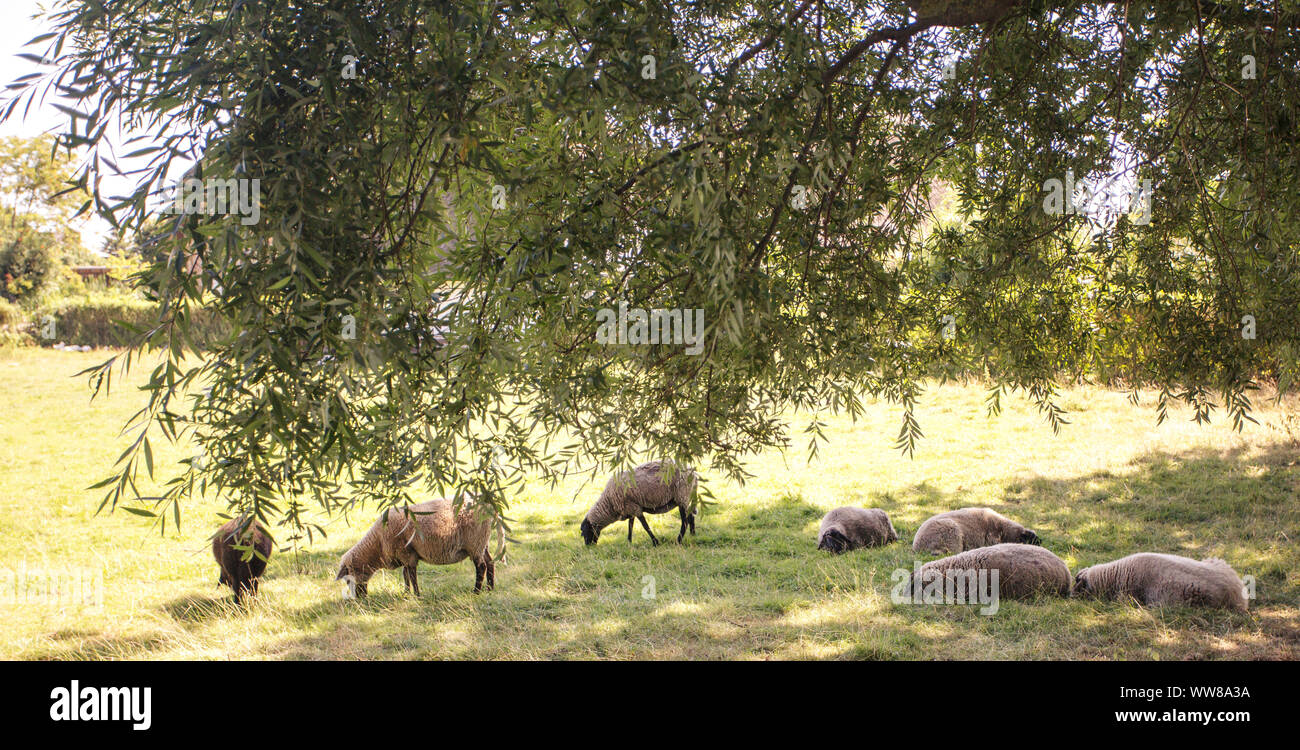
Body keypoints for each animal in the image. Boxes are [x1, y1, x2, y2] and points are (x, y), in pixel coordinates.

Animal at [335, 497, 497, 598]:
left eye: (348, 580)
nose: (359, 598)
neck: (377, 544)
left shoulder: (407, 553)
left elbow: (412, 575)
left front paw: (417, 595)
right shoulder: (404, 555)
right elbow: (406, 575)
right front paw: (406, 593)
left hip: (475, 542)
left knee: (481, 566)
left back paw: (476, 591)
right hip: (484, 542)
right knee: (490, 561)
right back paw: (490, 589)